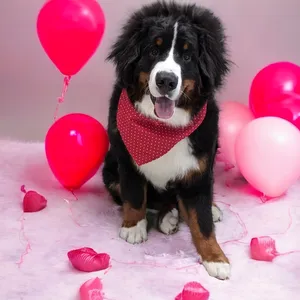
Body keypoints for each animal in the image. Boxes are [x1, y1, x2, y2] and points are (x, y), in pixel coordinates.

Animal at [102, 1, 231, 280]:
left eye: (187, 56)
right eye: (153, 50)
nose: (166, 80)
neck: (162, 130)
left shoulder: (198, 172)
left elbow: (202, 222)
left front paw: (215, 258)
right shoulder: (126, 161)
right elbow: (134, 195)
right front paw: (133, 227)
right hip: (109, 169)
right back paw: (166, 216)